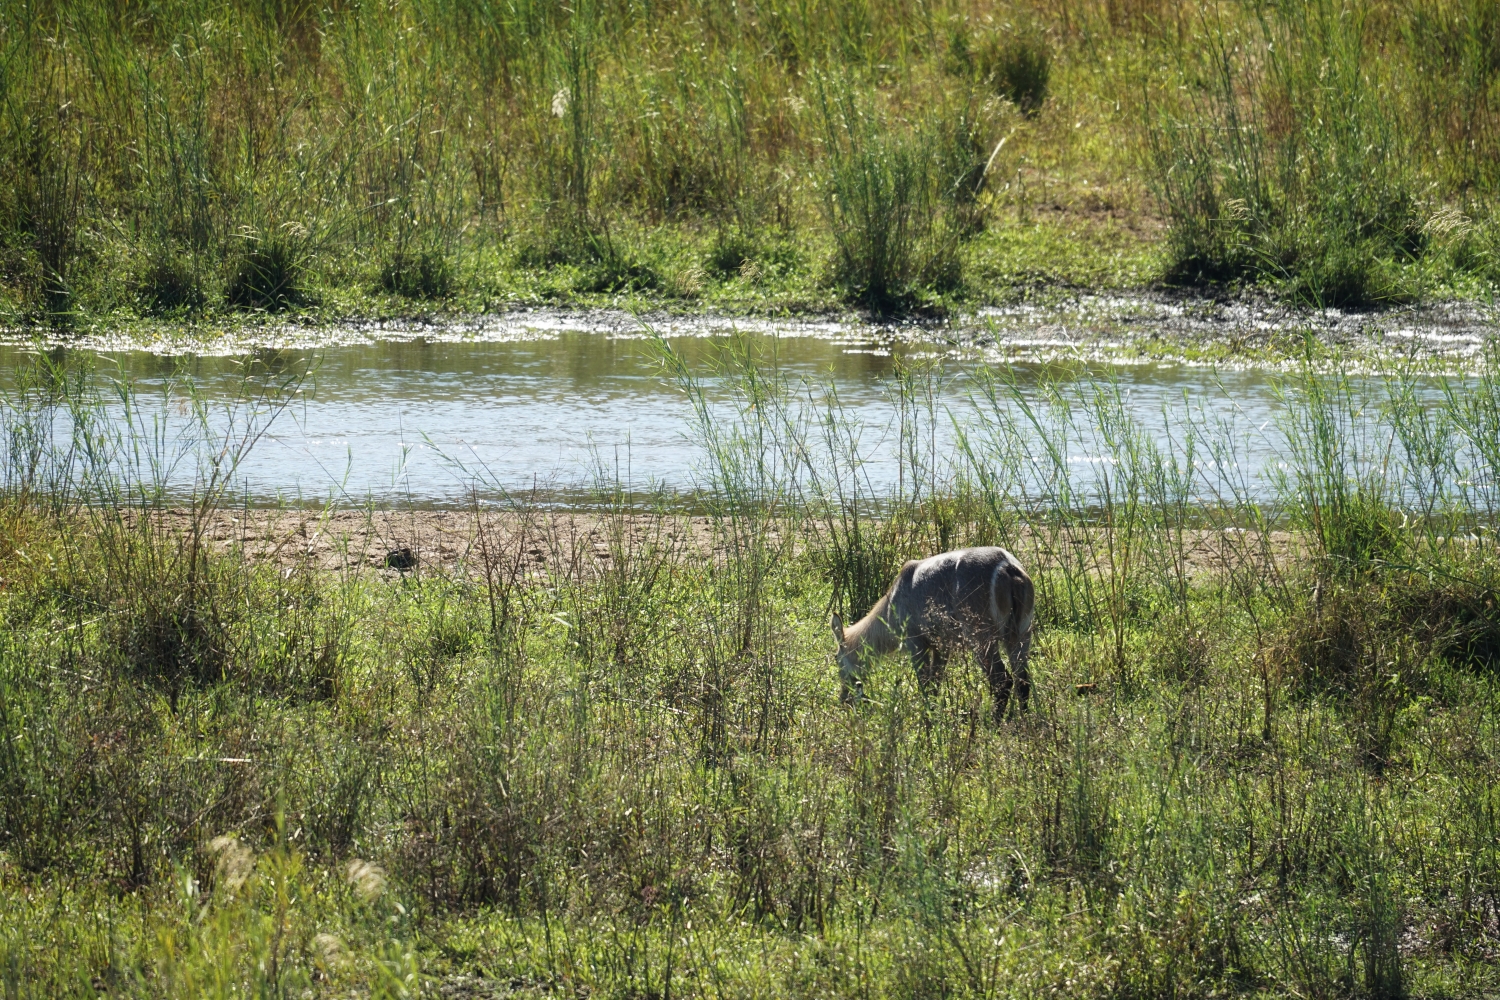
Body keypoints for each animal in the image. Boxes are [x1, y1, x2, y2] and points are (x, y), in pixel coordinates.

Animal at [834, 548, 1032, 719]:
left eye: (836, 658)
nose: (844, 698)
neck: (890, 606)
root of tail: (1007, 566)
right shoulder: (942, 647)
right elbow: (935, 684)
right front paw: (935, 714)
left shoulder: (914, 643)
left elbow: (925, 684)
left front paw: (928, 719)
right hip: (1022, 633)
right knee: (1023, 680)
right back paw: (1024, 725)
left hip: (981, 637)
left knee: (1002, 680)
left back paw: (994, 725)